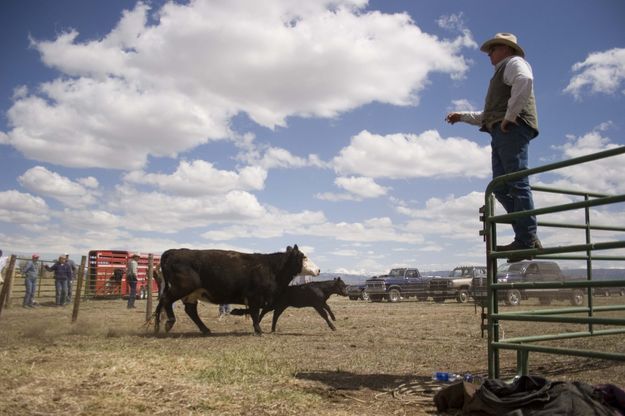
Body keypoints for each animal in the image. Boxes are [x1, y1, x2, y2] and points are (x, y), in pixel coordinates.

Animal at [154, 244, 320, 334]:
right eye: (304, 257)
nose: (318, 270)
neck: (272, 268)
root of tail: (175, 251)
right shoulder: (255, 296)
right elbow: (254, 313)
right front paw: (258, 330)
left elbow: (254, 312)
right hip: (181, 287)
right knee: (166, 300)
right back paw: (168, 323)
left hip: (192, 293)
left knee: (189, 310)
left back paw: (204, 329)